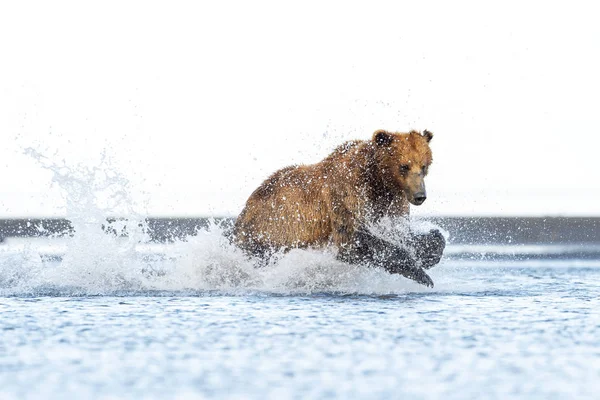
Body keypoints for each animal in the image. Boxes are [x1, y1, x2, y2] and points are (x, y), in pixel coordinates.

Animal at [234, 130, 446, 288]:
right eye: (404, 166)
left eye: (424, 166)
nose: (420, 196)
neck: (378, 182)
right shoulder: (347, 193)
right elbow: (354, 239)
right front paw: (423, 275)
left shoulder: (392, 205)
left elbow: (405, 234)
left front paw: (431, 246)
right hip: (269, 231)